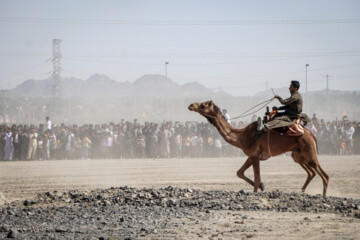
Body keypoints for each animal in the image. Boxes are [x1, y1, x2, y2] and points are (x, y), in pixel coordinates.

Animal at [188, 100, 330, 196]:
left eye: (204, 105)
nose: (191, 105)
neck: (241, 136)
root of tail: (310, 133)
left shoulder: (255, 155)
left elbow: (256, 178)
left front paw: (257, 189)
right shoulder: (251, 155)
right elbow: (240, 173)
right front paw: (262, 186)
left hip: (309, 151)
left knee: (324, 175)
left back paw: (323, 195)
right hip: (298, 154)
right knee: (313, 172)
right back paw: (304, 190)